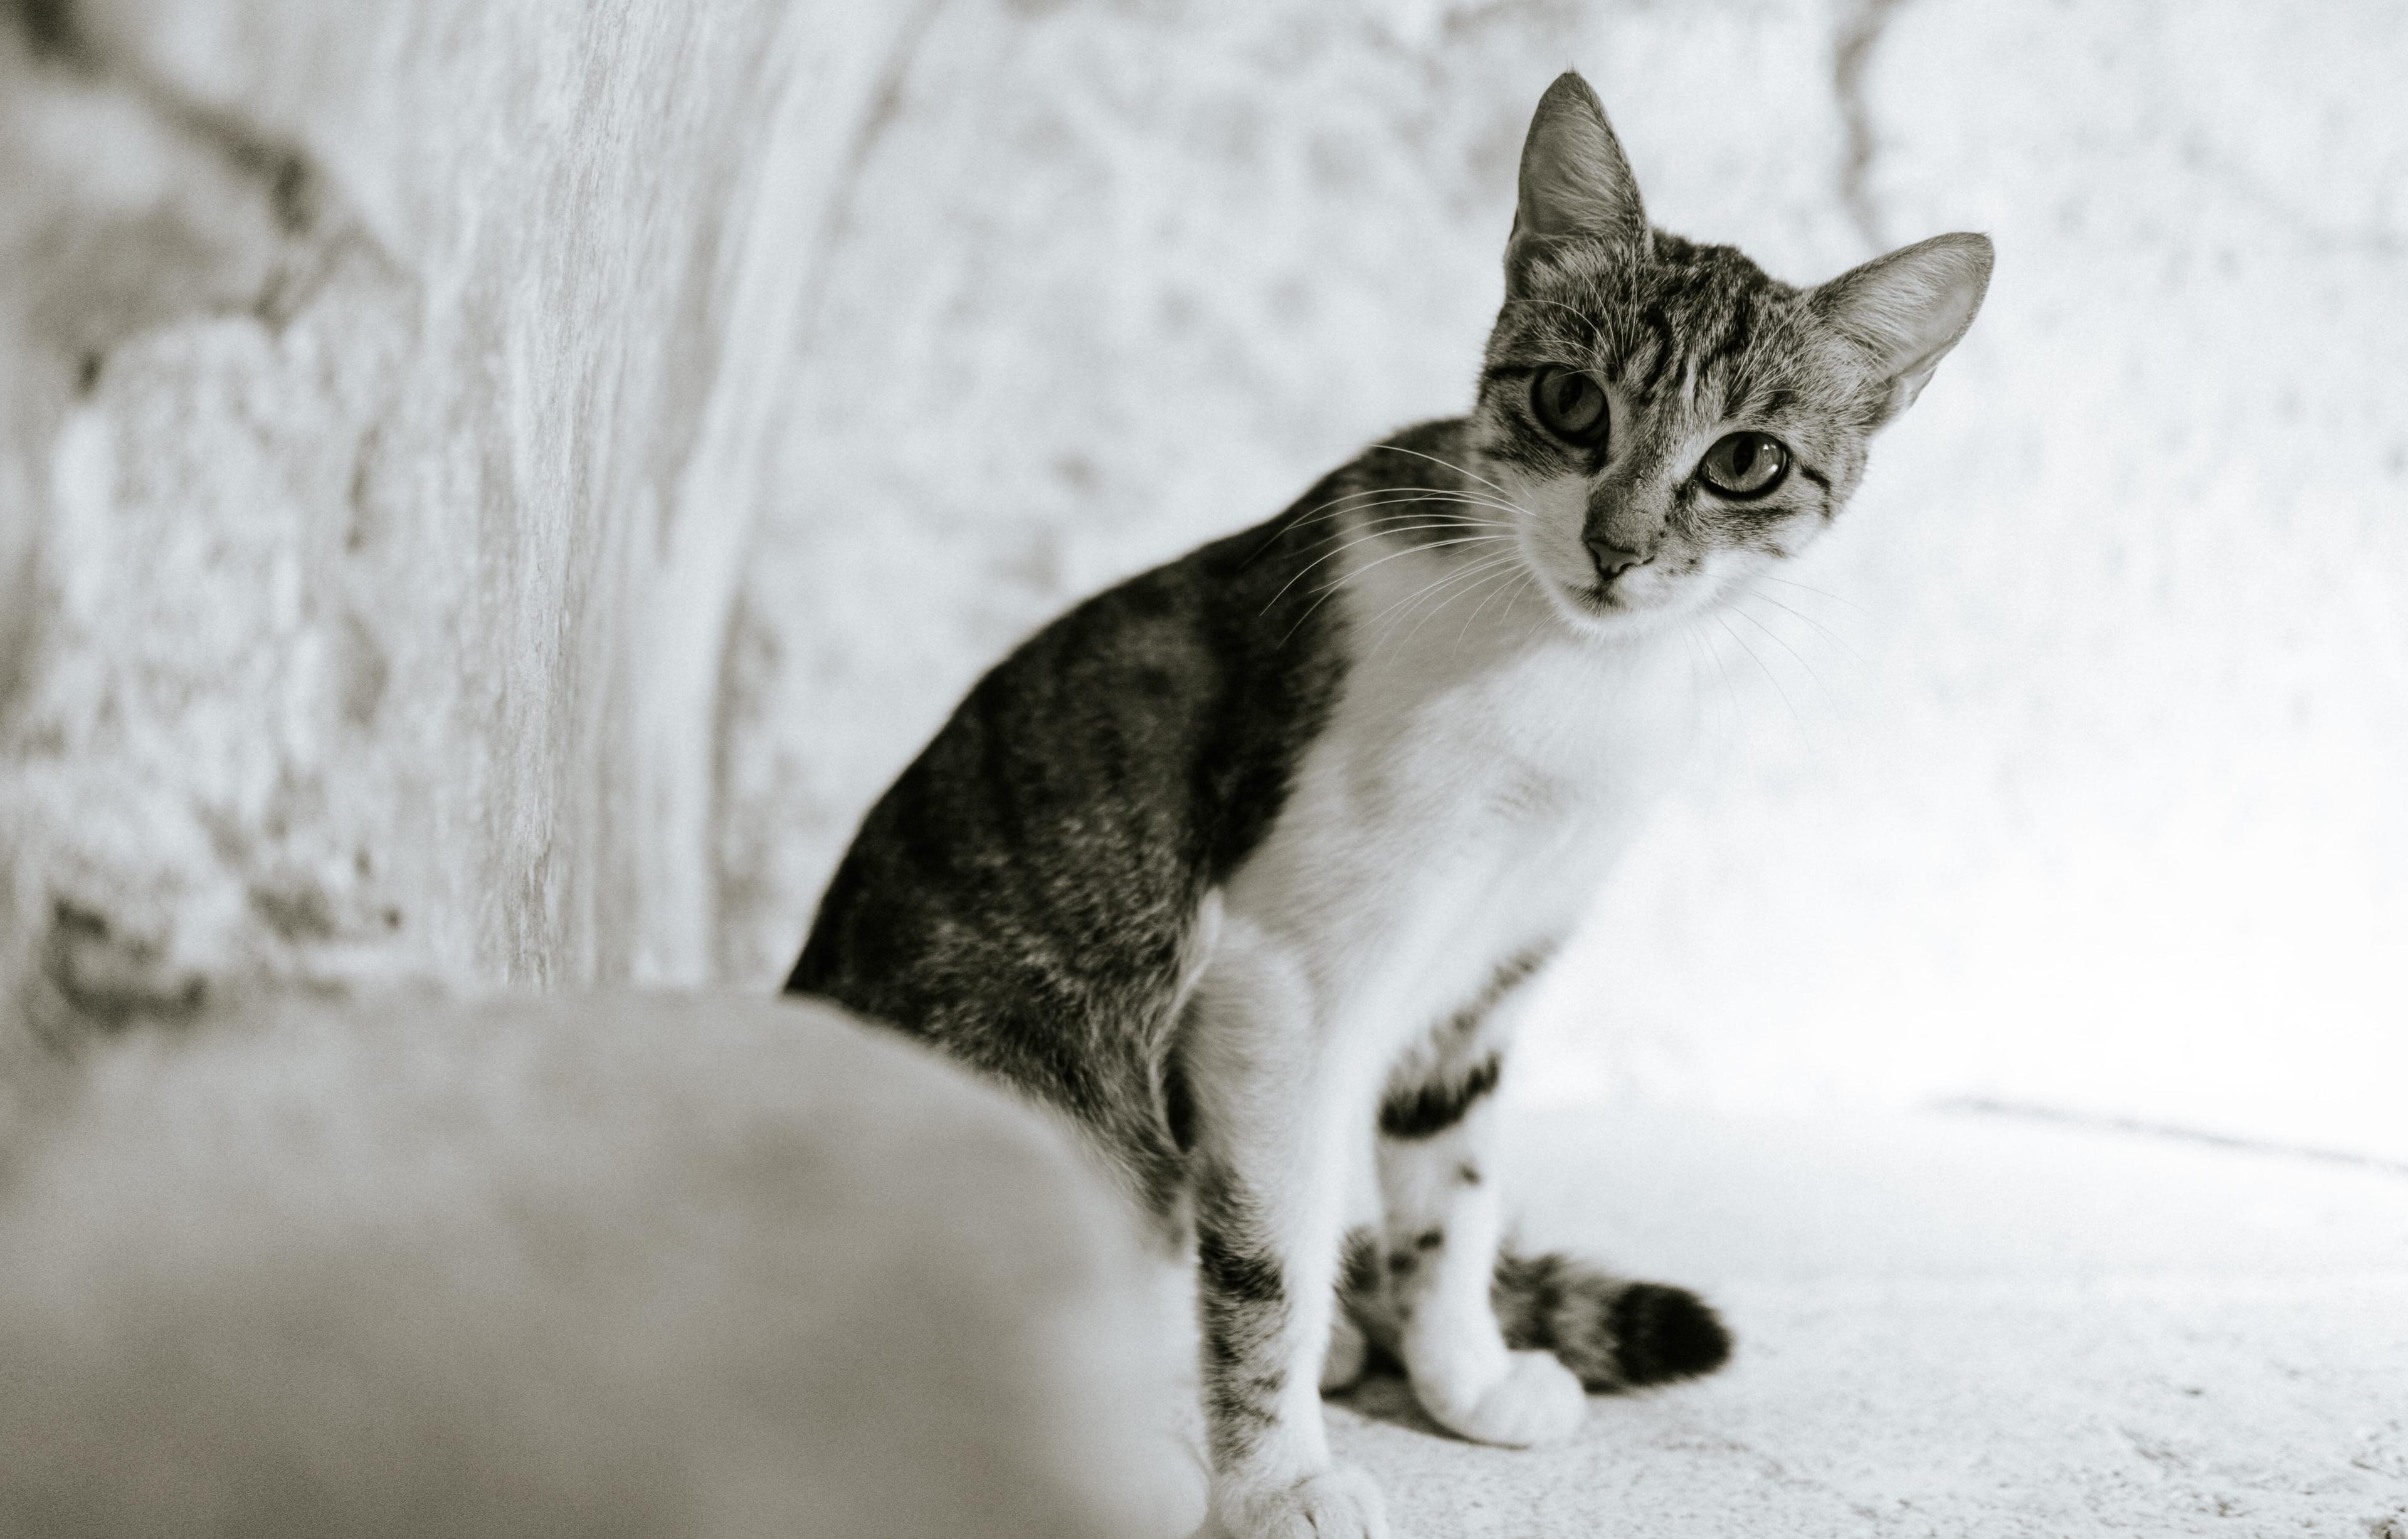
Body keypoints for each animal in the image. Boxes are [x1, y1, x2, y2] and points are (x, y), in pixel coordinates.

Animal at [780, 72, 1984, 1539]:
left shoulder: (1492, 968)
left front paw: (1460, 1373)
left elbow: (1451, 1191)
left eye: (1747, 462)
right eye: (1572, 403)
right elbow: (1269, 1258)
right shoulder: (1280, 983)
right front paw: (1279, 1478)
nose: (1618, 546)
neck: (1567, 671)